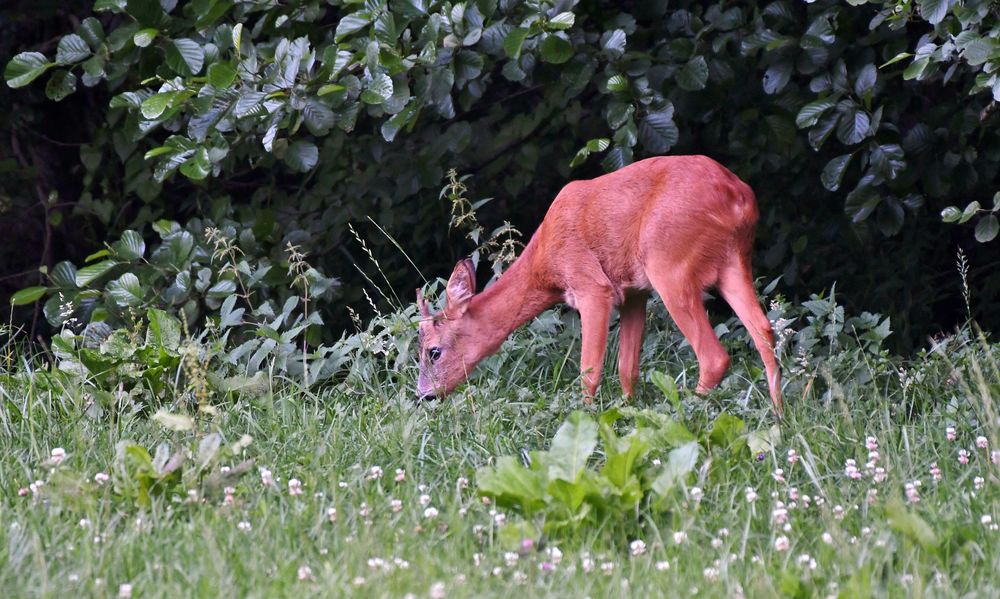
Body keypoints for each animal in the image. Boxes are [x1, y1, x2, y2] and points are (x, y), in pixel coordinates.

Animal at [415, 155, 783, 415]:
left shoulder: (592, 286)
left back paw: (690, 414)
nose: (424, 396)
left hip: (669, 264)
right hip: (733, 261)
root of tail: (739, 198)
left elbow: (589, 370)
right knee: (764, 330)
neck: (545, 265)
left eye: (433, 351)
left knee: (713, 356)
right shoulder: (634, 293)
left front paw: (586, 419)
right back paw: (780, 416)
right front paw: (627, 413)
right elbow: (626, 369)